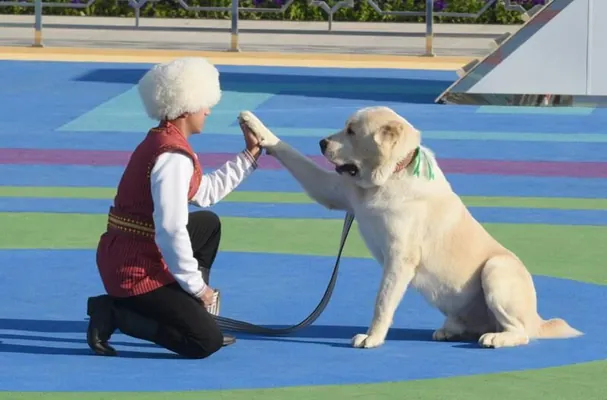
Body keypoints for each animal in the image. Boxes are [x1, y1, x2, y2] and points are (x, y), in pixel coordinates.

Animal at [236, 107, 580, 350]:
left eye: (351, 131)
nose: (322, 142)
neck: (387, 177)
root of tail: (537, 318)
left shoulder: (399, 259)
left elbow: (382, 302)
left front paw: (372, 338)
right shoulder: (334, 191)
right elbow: (290, 152)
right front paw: (256, 127)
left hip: (497, 268)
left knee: (521, 331)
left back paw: (498, 338)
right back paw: (451, 330)